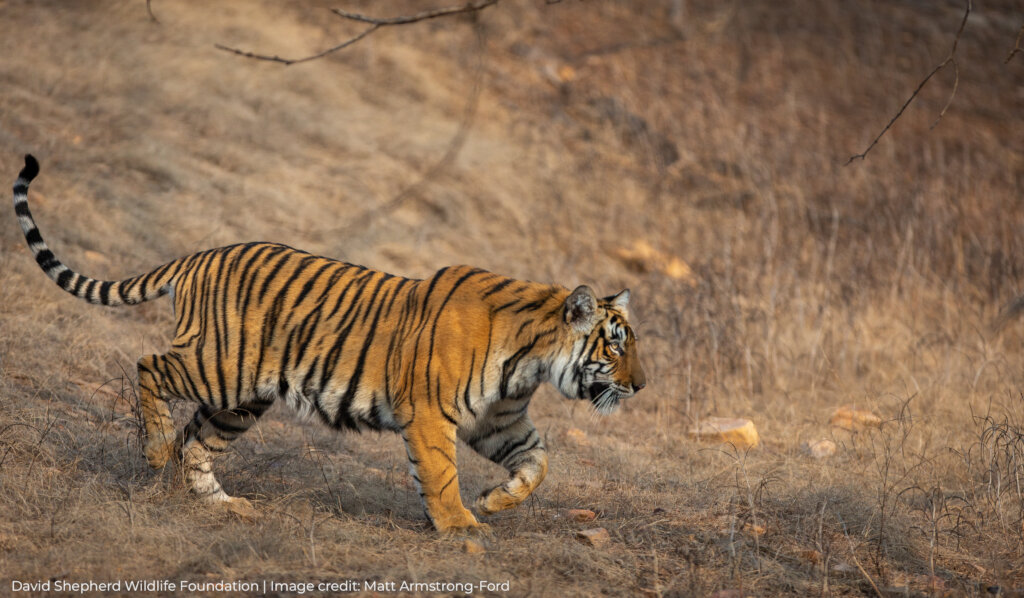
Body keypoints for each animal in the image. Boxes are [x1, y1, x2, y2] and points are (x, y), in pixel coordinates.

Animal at [12, 154, 647, 534]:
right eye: (615, 347)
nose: (641, 386)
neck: (531, 361)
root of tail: (201, 254)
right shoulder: (432, 413)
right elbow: (441, 474)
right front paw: (461, 528)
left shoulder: (498, 420)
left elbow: (538, 461)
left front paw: (494, 501)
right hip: (221, 365)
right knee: (150, 366)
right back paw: (153, 449)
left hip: (242, 399)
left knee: (198, 441)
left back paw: (222, 504)